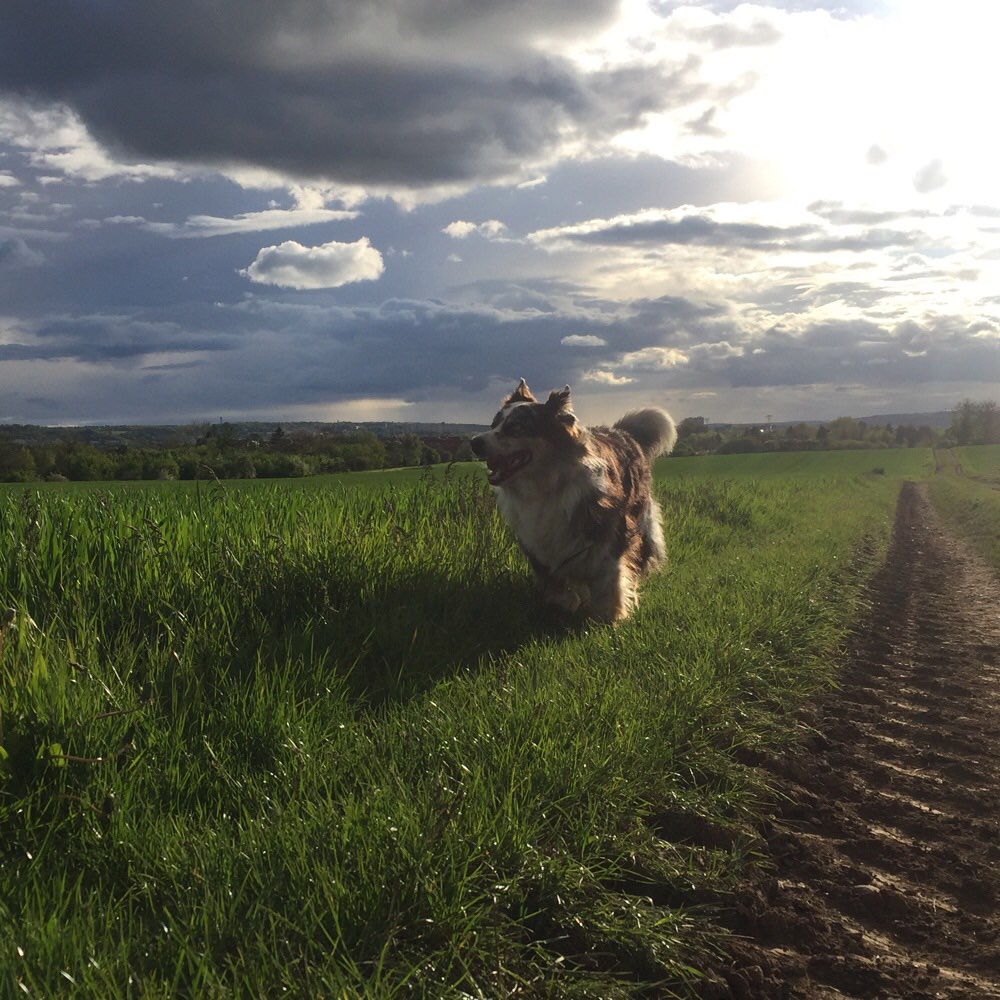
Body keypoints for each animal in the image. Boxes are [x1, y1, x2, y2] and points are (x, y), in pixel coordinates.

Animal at [470, 378, 676, 620]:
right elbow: (553, 581)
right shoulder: (537, 539)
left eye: (516, 427)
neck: (545, 485)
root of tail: (621, 432)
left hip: (641, 519)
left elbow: (610, 577)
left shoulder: (610, 529)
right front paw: (568, 603)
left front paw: (610, 616)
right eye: (493, 424)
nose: (474, 442)